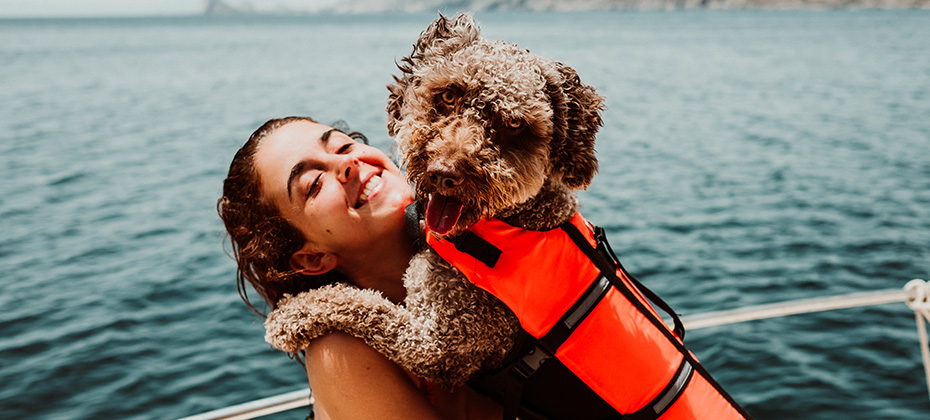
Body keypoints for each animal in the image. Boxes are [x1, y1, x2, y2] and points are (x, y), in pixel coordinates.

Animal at [264, 11, 604, 388]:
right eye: (449, 97)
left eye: (514, 124)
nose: (444, 173)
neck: (513, 222)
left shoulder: (439, 346)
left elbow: (360, 305)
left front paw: (291, 313)